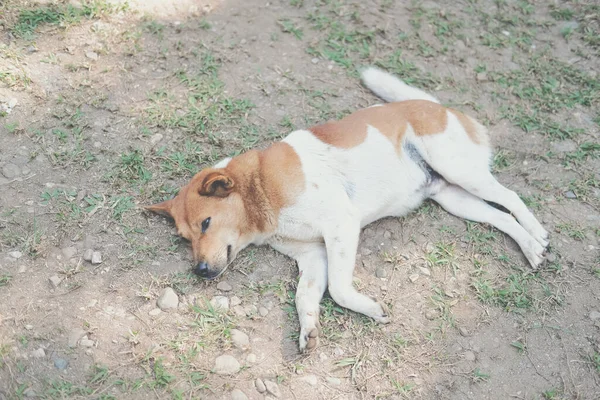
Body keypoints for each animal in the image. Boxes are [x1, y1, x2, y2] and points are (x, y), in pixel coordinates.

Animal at [145, 67, 548, 352]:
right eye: (184, 238)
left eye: (206, 223)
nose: (198, 271)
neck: (258, 189)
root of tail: (438, 106)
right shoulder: (313, 256)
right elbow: (305, 296)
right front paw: (308, 330)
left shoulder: (341, 227)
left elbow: (338, 289)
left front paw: (369, 309)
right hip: (453, 197)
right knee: (500, 217)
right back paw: (530, 248)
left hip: (460, 171)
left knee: (512, 197)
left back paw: (539, 233)